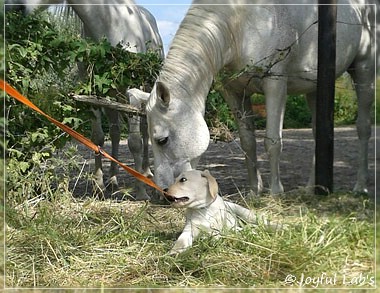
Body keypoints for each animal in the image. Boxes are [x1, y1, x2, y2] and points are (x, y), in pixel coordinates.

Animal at [5, 0, 163, 198]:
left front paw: (141, 192)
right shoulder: (92, 92)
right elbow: (98, 138)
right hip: (112, 98)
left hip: (145, 89)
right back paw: (113, 179)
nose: (13, 7)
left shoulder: (132, 91)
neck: (110, 23)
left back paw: (147, 171)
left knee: (144, 131)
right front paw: (98, 186)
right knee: (115, 132)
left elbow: (134, 142)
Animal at [144, 0, 376, 196]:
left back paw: (361, 186)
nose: (163, 192)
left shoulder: (275, 84)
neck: (240, 21)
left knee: (363, 127)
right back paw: (313, 187)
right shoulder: (234, 92)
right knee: (319, 133)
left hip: (364, 70)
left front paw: (275, 191)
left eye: (162, 140)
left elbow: (272, 140)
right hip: (315, 89)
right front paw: (255, 190)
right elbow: (248, 142)